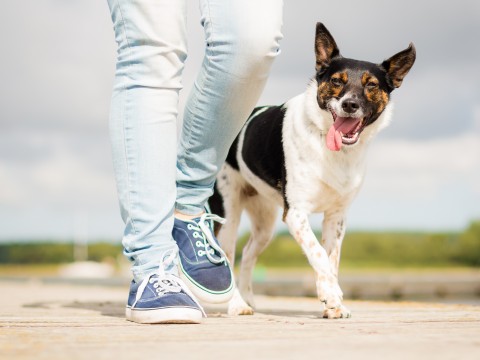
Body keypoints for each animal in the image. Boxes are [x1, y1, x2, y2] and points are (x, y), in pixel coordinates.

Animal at [210, 22, 416, 318]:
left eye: (372, 85)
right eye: (337, 81)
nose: (349, 105)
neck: (330, 147)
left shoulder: (336, 217)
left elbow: (331, 259)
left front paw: (332, 303)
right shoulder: (296, 214)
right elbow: (318, 254)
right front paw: (331, 294)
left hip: (264, 221)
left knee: (248, 253)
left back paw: (248, 298)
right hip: (228, 213)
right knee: (227, 254)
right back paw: (237, 304)